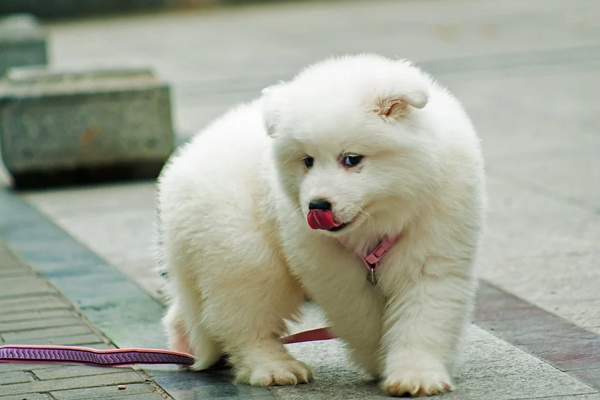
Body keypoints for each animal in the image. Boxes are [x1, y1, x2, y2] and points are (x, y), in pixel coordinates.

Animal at [157, 53, 486, 396]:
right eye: (307, 161)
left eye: (352, 159)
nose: (317, 206)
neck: (379, 221)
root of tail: (180, 164)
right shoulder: (332, 271)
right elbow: (363, 318)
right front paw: (377, 360)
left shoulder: (434, 252)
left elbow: (424, 317)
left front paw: (416, 375)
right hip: (244, 254)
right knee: (242, 319)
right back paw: (274, 367)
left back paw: (185, 344)